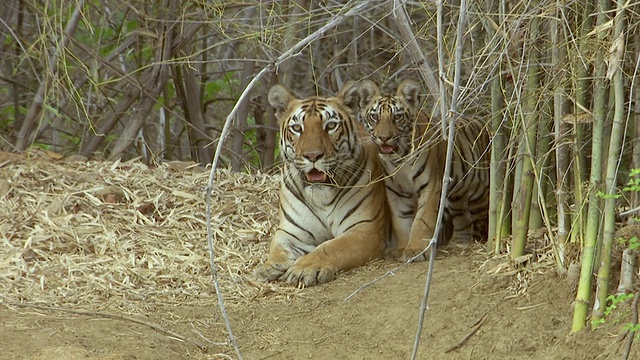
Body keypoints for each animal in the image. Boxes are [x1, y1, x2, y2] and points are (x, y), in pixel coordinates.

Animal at [255, 83, 390, 286]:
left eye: (331, 126)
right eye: (297, 128)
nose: (313, 155)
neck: (321, 198)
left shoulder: (366, 229)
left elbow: (331, 247)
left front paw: (304, 268)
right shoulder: (291, 231)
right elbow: (277, 245)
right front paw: (270, 266)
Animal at [356, 79, 490, 260]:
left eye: (397, 117)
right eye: (374, 117)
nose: (384, 138)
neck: (399, 159)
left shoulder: (430, 187)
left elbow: (422, 219)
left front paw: (415, 249)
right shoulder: (397, 192)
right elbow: (401, 221)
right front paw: (402, 248)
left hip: (480, 195)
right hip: (456, 197)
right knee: (463, 219)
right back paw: (459, 242)